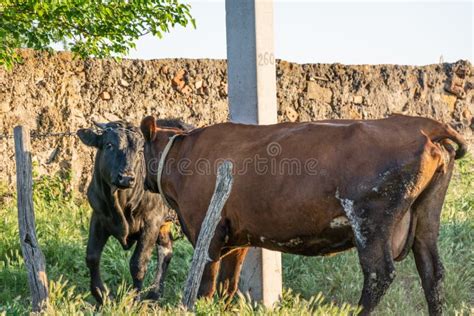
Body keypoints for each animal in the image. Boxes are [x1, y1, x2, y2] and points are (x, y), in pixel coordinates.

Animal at [76, 121, 174, 304]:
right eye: (109, 145)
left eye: (141, 151)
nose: (127, 177)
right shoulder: (99, 217)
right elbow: (92, 257)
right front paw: (101, 295)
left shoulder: (152, 222)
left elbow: (138, 264)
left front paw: (134, 300)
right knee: (166, 250)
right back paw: (154, 295)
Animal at [139, 115, 464, 314]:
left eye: (139, 148)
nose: (132, 179)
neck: (184, 155)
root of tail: (419, 125)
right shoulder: (237, 240)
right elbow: (227, 288)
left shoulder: (208, 233)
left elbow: (205, 286)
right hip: (426, 219)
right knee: (432, 272)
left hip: (370, 221)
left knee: (378, 273)